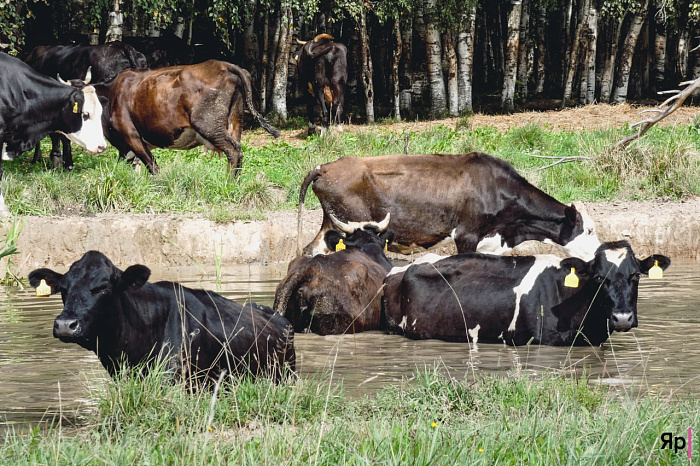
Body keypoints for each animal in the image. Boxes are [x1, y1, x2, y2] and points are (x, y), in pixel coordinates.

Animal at [298, 154, 600, 260]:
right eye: (589, 230)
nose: (599, 253)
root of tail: (325, 167)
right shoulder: (466, 236)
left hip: (329, 223)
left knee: (310, 251)